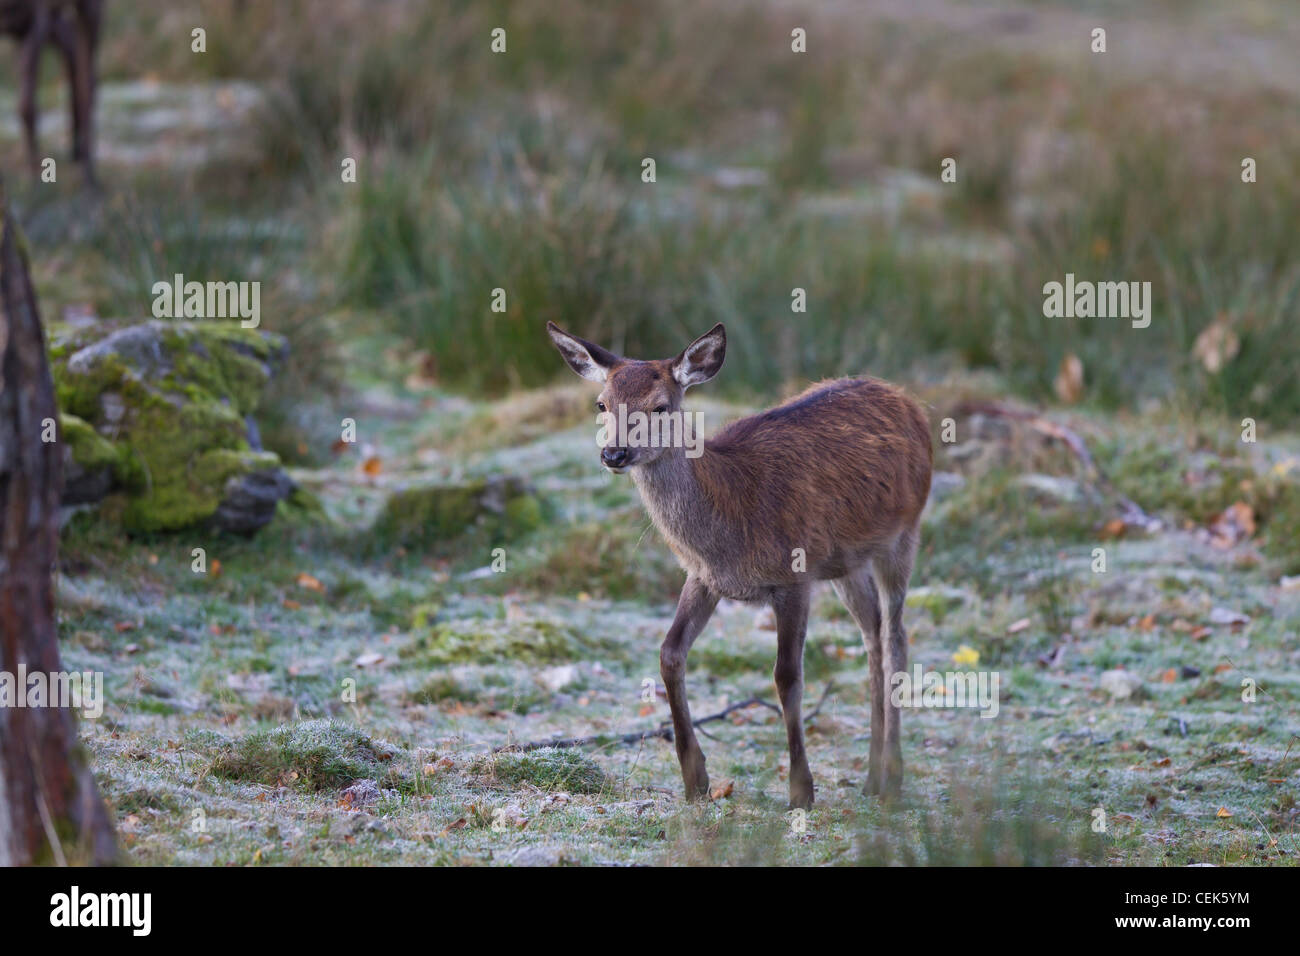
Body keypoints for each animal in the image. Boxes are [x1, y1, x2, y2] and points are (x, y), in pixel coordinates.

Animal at [1, 0, 104, 185]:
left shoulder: (36, 19)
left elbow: (26, 107)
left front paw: (32, 177)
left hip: (84, 13)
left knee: (87, 82)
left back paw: (89, 176)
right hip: (59, 22)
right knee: (75, 64)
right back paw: (76, 155)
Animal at [548, 321, 935, 806]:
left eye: (659, 407)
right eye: (601, 403)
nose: (614, 455)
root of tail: (908, 402)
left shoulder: (795, 574)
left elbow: (787, 675)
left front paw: (801, 790)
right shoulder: (702, 577)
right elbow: (669, 654)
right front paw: (696, 780)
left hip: (903, 532)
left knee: (896, 635)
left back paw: (893, 778)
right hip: (846, 562)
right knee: (873, 633)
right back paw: (870, 777)